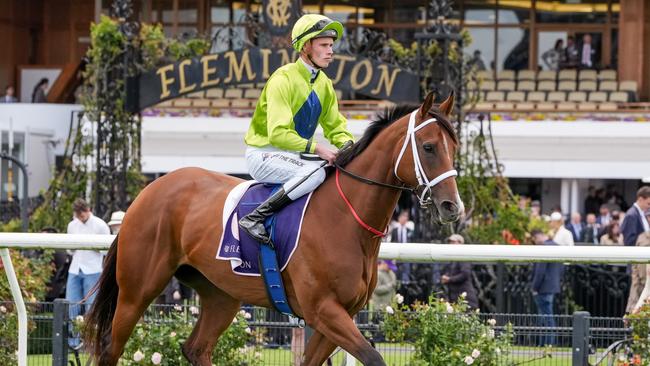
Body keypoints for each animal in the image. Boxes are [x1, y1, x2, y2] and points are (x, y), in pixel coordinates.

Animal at [85, 90, 460, 364]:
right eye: (428, 147)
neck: (345, 218)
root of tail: (149, 190)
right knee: (111, 348)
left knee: (196, 348)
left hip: (221, 294)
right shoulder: (323, 309)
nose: (452, 206)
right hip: (137, 289)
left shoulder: (339, 314)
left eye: (454, 147)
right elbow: (373, 357)